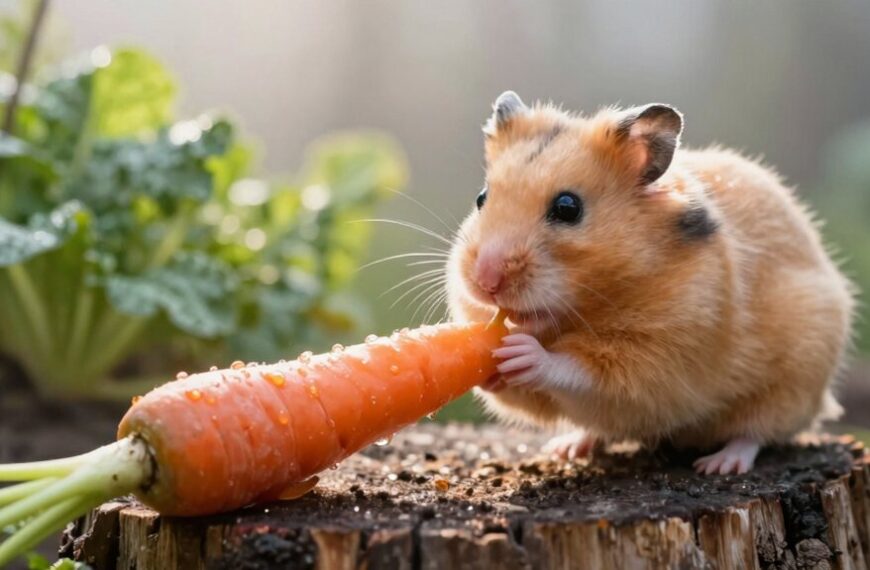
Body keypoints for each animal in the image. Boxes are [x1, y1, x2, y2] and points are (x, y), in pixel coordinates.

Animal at [446, 91, 855, 474]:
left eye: (567, 208)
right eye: (481, 198)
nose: (485, 281)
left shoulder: (660, 357)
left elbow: (581, 371)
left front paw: (523, 352)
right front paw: (489, 365)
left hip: (794, 382)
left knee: (757, 432)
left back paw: (718, 464)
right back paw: (567, 448)